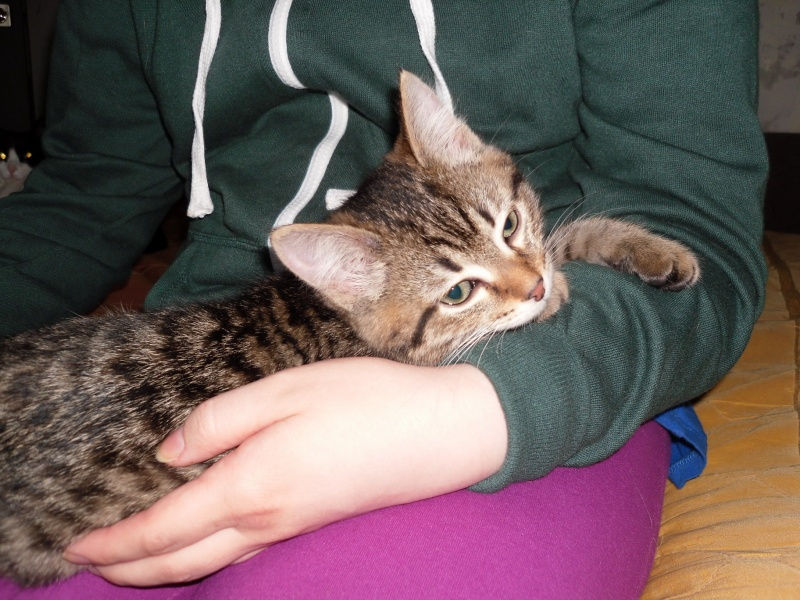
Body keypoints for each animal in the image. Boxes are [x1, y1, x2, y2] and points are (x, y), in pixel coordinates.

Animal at [0, 71, 699, 586]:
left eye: (508, 224)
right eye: (457, 292)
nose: (533, 287)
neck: (326, 314)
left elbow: (562, 240)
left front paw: (645, 250)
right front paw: (559, 293)